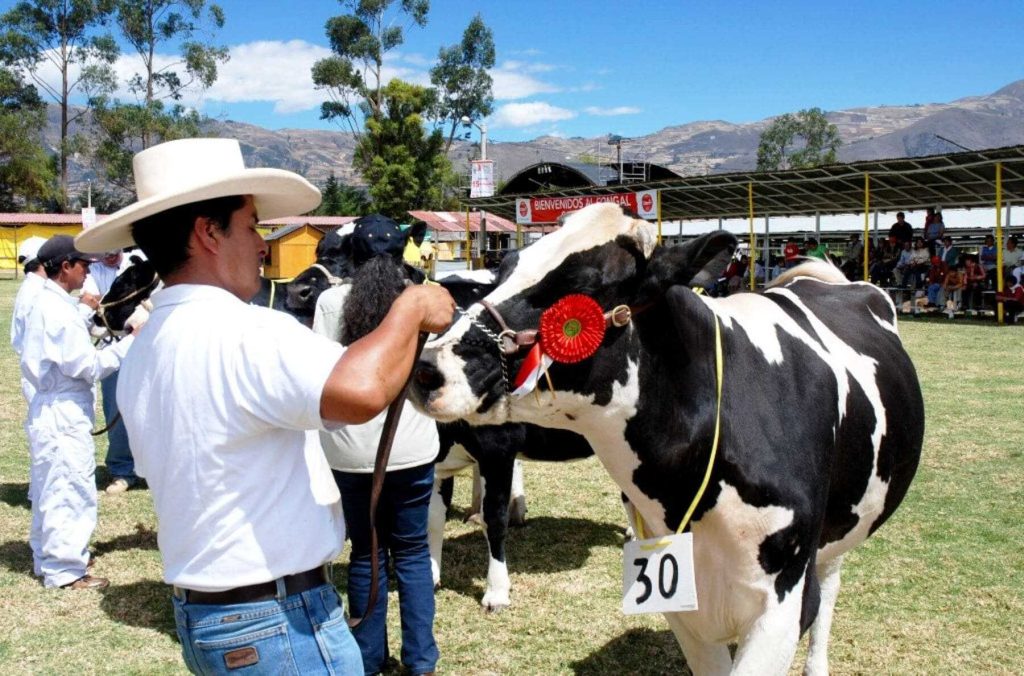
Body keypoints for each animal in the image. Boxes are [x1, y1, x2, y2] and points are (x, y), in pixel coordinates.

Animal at [411, 201, 925, 676]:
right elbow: (431, 514)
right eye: (505, 268)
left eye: (584, 286)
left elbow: (492, 517)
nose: (428, 367)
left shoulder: (783, 604)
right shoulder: (685, 606)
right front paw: (432, 573)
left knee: (831, 584)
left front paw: (496, 590)